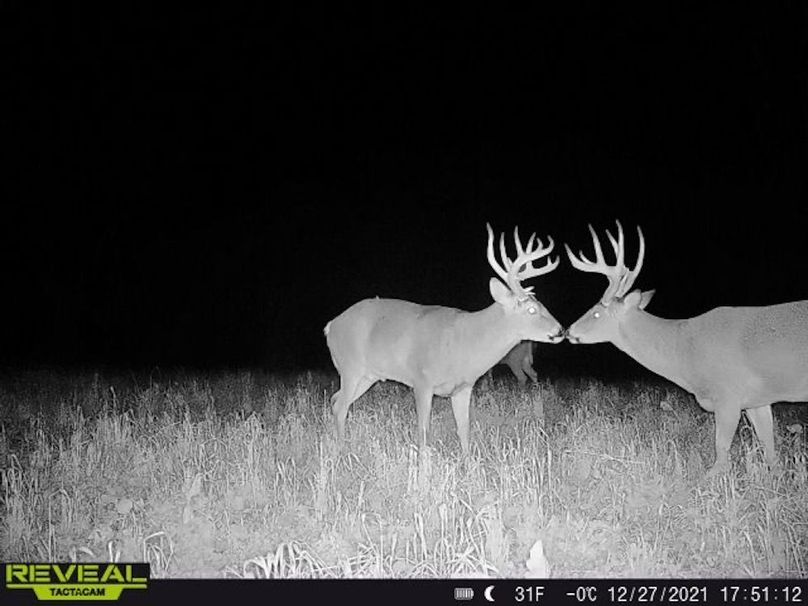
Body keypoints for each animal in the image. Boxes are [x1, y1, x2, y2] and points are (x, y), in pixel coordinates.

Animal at [324, 224, 564, 454]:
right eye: (532, 309)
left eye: (541, 304)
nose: (560, 330)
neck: (466, 342)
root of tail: (330, 326)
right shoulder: (421, 380)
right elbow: (424, 431)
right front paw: (424, 465)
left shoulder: (463, 388)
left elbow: (464, 430)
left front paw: (469, 464)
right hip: (350, 367)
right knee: (340, 406)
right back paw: (341, 453)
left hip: (368, 376)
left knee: (335, 400)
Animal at [564, 221, 808, 475]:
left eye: (596, 312)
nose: (568, 331)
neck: (684, 352)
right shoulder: (757, 400)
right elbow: (770, 450)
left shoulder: (728, 395)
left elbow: (721, 454)